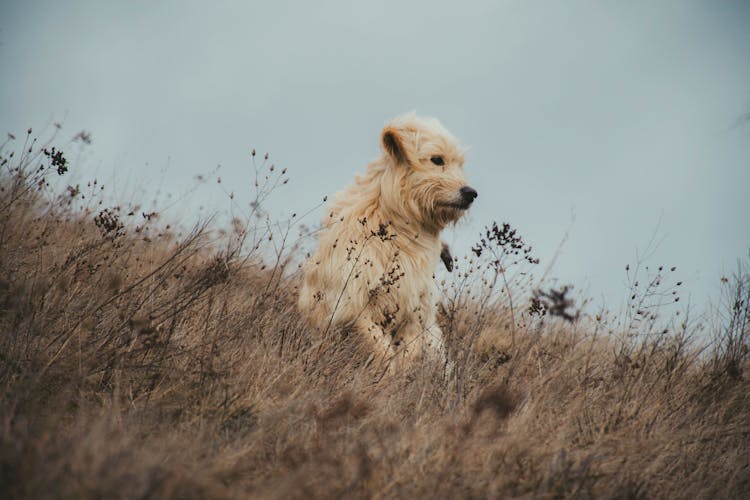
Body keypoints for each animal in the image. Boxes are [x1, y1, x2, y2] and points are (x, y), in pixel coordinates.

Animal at [298, 114, 478, 372]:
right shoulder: (351, 305)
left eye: (460, 164)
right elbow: (380, 349)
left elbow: (408, 353)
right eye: (437, 159)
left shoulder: (414, 313)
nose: (470, 193)